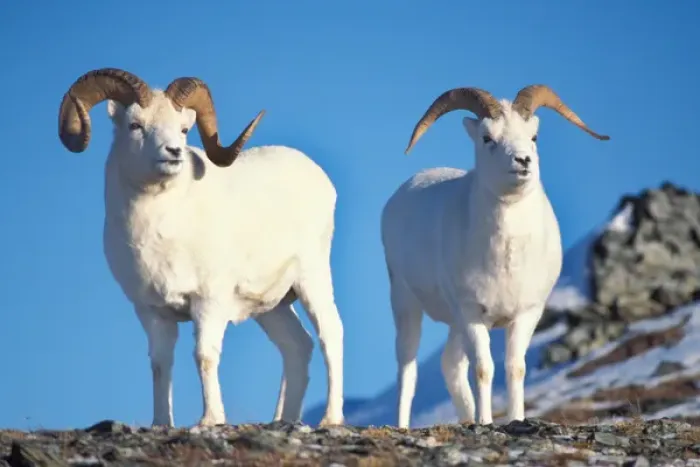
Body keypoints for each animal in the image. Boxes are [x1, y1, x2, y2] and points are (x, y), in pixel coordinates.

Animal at [57, 68, 345, 428]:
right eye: (135, 125)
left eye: (183, 129)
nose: (173, 152)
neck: (161, 234)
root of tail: (320, 177)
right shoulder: (152, 312)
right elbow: (160, 364)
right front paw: (161, 424)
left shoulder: (208, 303)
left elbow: (204, 356)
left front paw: (210, 420)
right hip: (274, 306)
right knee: (297, 347)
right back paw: (284, 420)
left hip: (311, 280)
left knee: (330, 334)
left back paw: (330, 420)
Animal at [381, 85, 610, 428]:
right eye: (487, 137)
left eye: (533, 136)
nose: (522, 161)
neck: (506, 257)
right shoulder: (473, 315)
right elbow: (483, 369)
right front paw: (485, 421)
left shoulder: (526, 314)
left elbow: (515, 367)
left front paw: (515, 419)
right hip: (407, 304)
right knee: (408, 371)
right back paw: (405, 425)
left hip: (453, 324)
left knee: (450, 366)